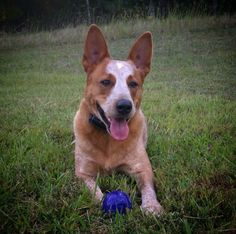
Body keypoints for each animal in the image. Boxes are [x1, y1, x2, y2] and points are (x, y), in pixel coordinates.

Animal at [74, 24, 163, 216]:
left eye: (133, 84)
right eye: (106, 82)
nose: (124, 106)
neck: (108, 138)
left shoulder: (142, 168)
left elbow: (148, 187)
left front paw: (152, 206)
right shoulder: (83, 173)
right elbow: (94, 191)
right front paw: (102, 202)